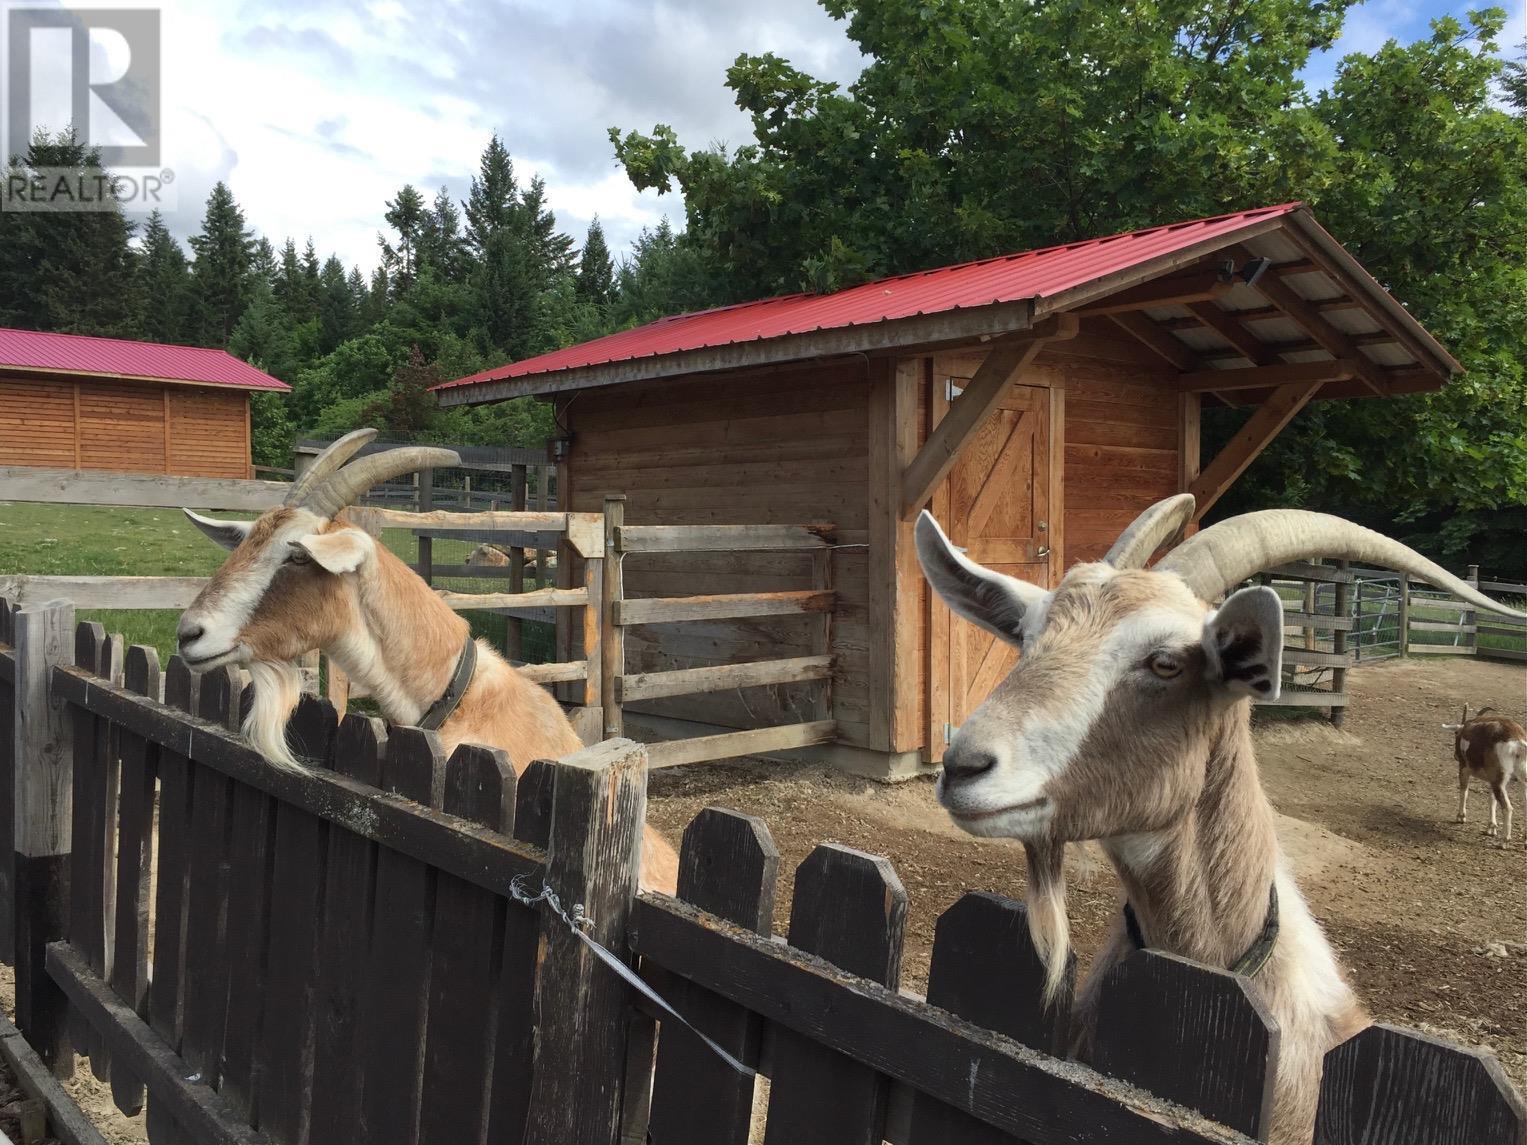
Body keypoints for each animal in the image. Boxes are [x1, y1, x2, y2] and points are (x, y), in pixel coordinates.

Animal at [1441, 705, 1527, 848]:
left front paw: (1461, 817)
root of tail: (1518, 742)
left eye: (1455, 733)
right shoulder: (1491, 779)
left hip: (1499, 781)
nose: (1455, 755)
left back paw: (1504, 841)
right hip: (1518, 780)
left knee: (1507, 808)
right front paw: (1491, 828)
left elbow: (1464, 792)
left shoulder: (1464, 769)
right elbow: (1491, 800)